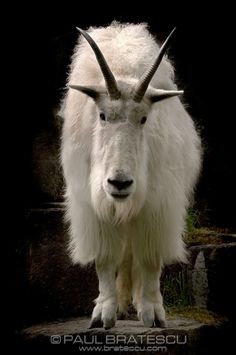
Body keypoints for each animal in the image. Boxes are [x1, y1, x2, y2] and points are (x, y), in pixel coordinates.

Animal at [60, 23, 201, 330]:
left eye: (144, 118)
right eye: (102, 115)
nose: (120, 183)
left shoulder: (157, 206)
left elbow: (149, 259)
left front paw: (153, 312)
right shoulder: (95, 206)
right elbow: (105, 259)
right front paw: (103, 313)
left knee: (134, 254)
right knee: (124, 253)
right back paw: (123, 305)